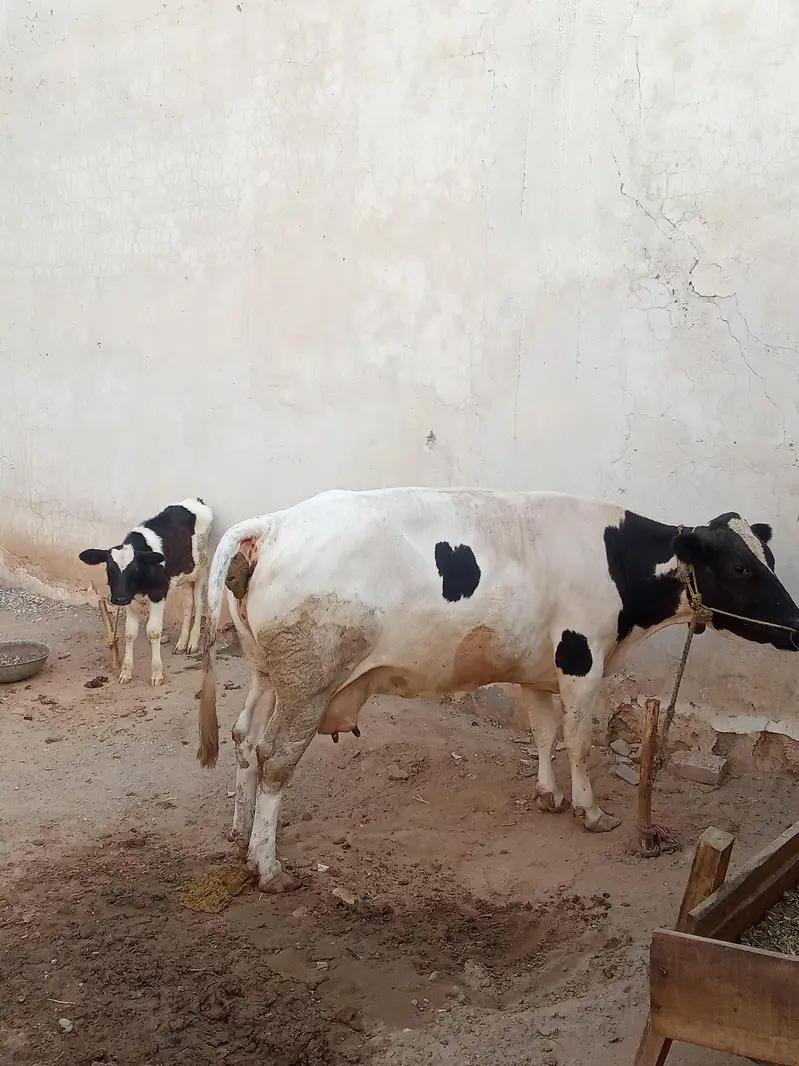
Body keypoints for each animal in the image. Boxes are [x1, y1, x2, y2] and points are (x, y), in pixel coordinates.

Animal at [79, 497, 213, 686]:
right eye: (109, 569)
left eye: (134, 568)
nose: (119, 599)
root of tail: (197, 500)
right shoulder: (130, 599)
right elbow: (130, 633)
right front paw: (126, 672)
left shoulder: (158, 593)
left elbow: (153, 632)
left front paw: (157, 673)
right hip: (185, 572)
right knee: (188, 603)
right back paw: (182, 643)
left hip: (201, 566)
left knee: (199, 602)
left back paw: (193, 643)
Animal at [195, 488, 799, 892]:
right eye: (742, 567)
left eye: (768, 558)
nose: (795, 625)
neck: (617, 562)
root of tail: (274, 523)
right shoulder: (582, 660)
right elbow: (580, 742)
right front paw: (589, 810)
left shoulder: (539, 667)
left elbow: (545, 732)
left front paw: (549, 795)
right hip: (309, 683)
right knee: (274, 757)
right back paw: (268, 865)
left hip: (268, 674)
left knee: (245, 739)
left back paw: (239, 834)